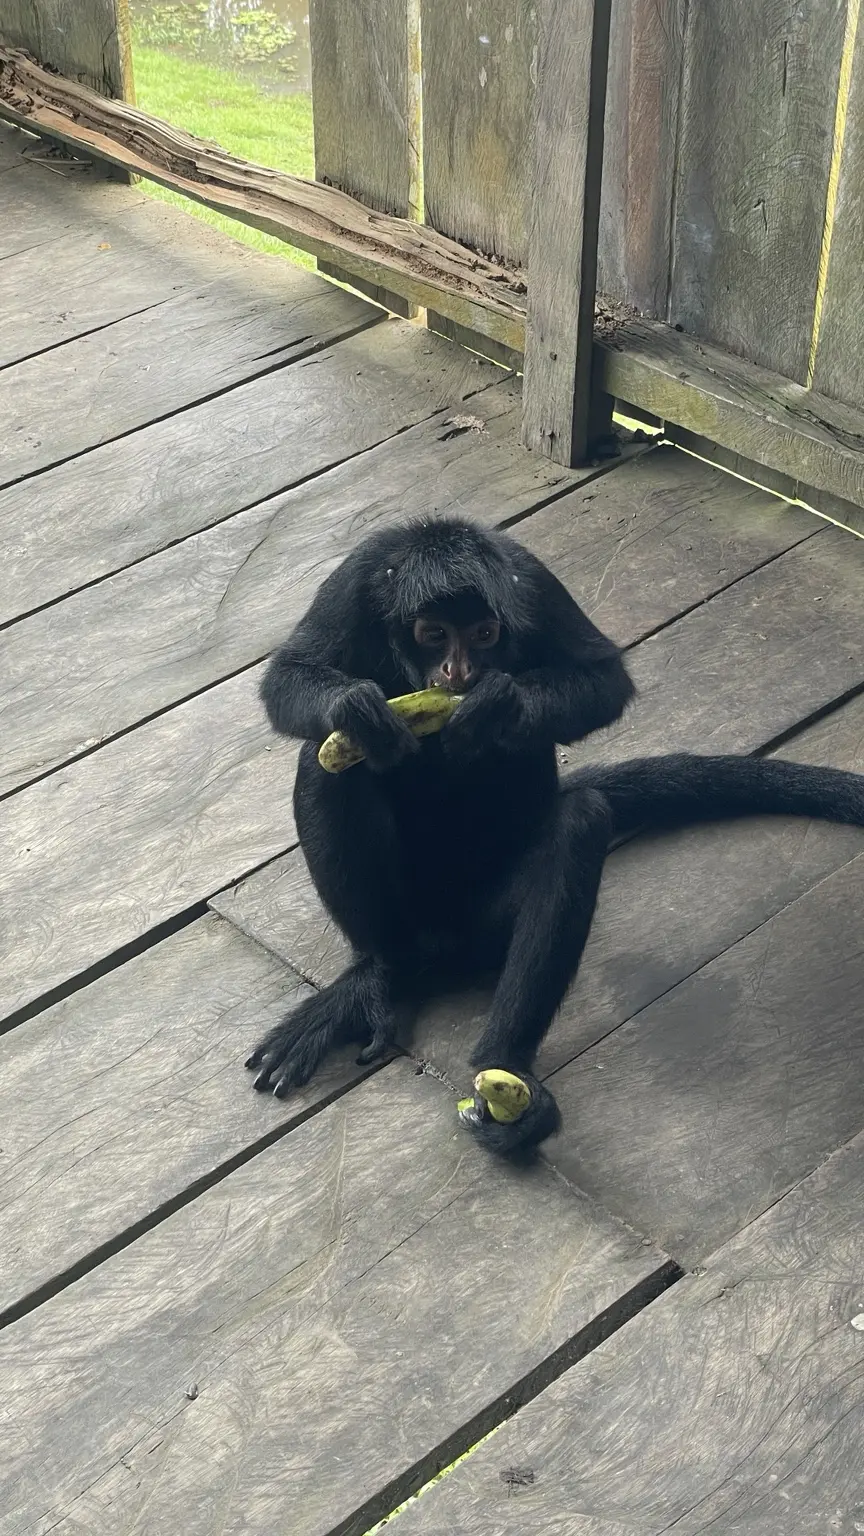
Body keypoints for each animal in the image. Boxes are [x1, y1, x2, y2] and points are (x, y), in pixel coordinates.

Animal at [245, 516, 864, 1155]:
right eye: (434, 634)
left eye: (485, 634)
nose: (457, 674)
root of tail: (441, 942)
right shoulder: (359, 578)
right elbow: (289, 677)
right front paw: (359, 710)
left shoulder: (530, 582)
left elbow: (603, 681)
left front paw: (498, 706)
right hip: (408, 913)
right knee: (327, 765)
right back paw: (378, 980)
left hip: (486, 925)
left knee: (581, 817)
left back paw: (508, 1074)